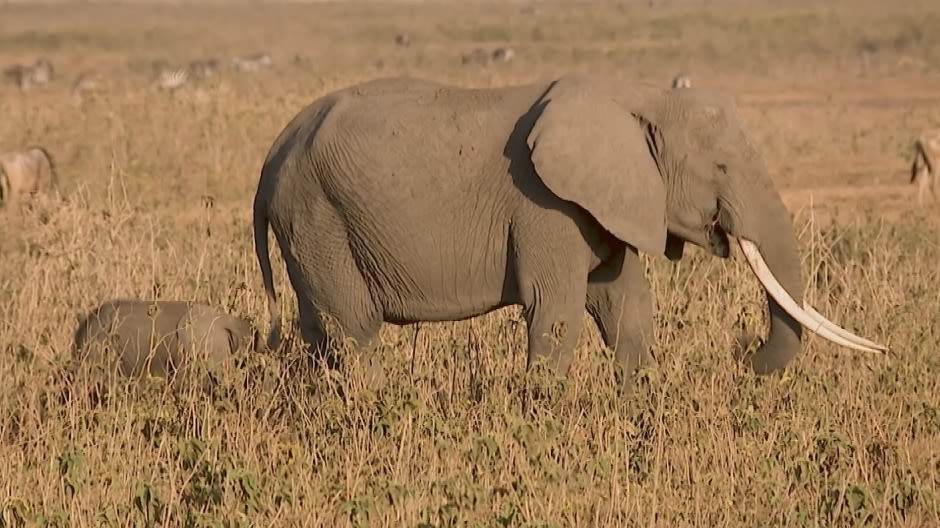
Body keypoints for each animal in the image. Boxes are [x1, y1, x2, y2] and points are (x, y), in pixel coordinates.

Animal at [252, 73, 888, 388]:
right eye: (723, 168)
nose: (743, 354)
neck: (643, 95)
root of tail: (271, 156)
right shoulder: (545, 205)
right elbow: (554, 312)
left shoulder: (604, 205)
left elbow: (626, 306)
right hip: (318, 216)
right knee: (353, 331)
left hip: (310, 224)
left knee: (322, 333)